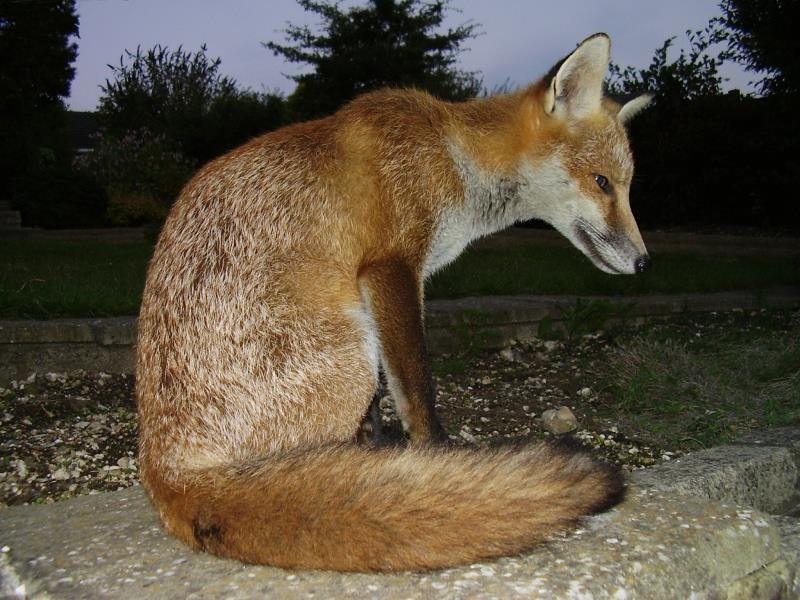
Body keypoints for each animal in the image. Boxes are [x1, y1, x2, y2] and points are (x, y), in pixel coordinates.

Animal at [136, 32, 648, 572]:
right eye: (602, 182)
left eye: (626, 185)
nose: (643, 263)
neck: (453, 156)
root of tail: (166, 473)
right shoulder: (392, 267)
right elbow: (417, 387)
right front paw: (437, 456)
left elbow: (385, 403)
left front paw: (390, 453)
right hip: (351, 352)